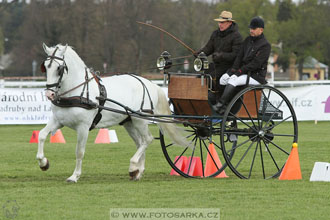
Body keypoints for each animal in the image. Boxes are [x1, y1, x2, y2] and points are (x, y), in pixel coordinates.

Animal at [37, 43, 187, 182]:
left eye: (59, 68)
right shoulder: (58, 120)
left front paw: (74, 176)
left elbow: (79, 152)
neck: (76, 92)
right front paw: (44, 163)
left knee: (147, 139)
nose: (49, 94)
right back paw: (138, 172)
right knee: (140, 143)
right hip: (129, 122)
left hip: (140, 120)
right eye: (45, 67)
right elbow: (42, 135)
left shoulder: (83, 127)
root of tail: (148, 83)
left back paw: (133, 167)